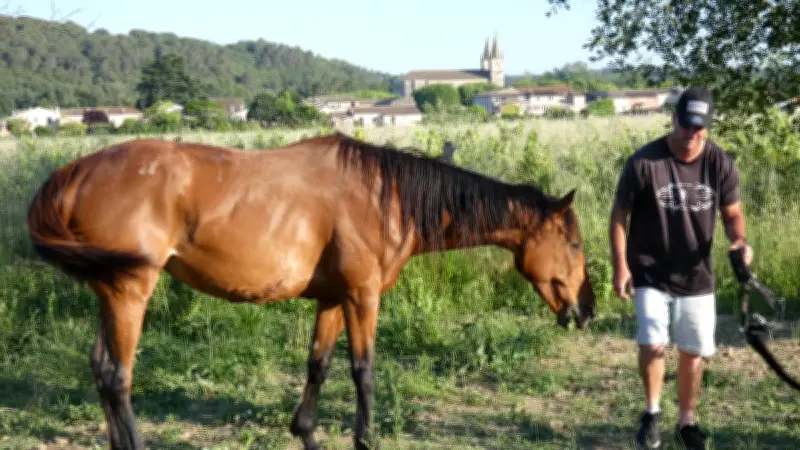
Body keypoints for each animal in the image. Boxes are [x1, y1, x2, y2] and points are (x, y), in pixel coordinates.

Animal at [25, 132, 596, 450]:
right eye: (573, 242)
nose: (587, 309)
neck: (386, 196)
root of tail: (74, 173)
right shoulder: (363, 296)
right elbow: (364, 371)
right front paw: (366, 438)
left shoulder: (332, 299)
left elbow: (318, 366)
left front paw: (305, 432)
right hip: (129, 292)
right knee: (118, 377)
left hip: (109, 292)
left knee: (101, 371)